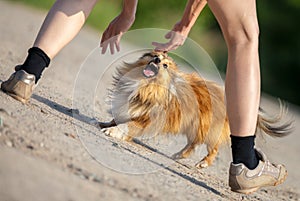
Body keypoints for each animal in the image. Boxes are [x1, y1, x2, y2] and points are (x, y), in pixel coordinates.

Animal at [99, 51, 292, 168]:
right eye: (154, 55)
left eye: (165, 65)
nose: (157, 60)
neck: (144, 86)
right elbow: (118, 118)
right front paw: (105, 124)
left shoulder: (145, 119)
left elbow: (127, 125)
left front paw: (112, 131)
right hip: (195, 127)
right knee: (192, 144)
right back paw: (178, 155)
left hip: (208, 130)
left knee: (212, 149)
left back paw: (203, 163)